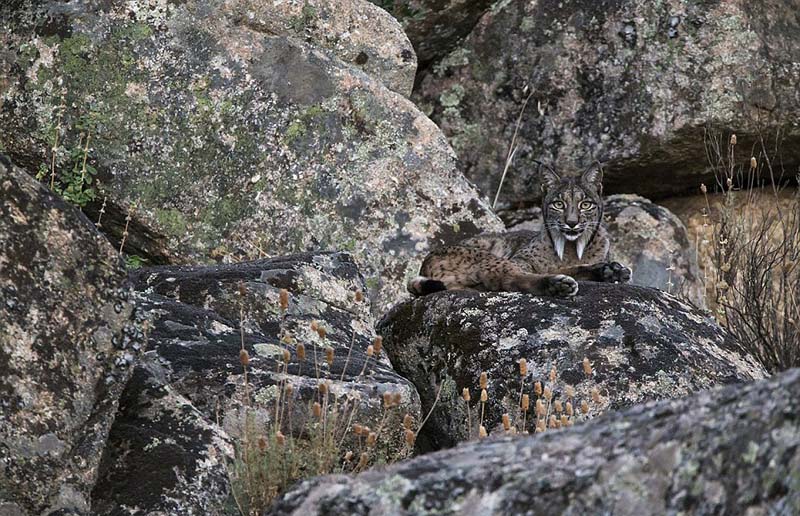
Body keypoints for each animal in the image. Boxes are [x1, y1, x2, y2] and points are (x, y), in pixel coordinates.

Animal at [410, 163, 636, 296]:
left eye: (585, 205)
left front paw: (609, 270)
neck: (572, 246)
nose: (572, 222)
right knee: (508, 278)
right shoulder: (521, 260)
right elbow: (549, 268)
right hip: (483, 256)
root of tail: (425, 261)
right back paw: (557, 285)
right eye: (559, 204)